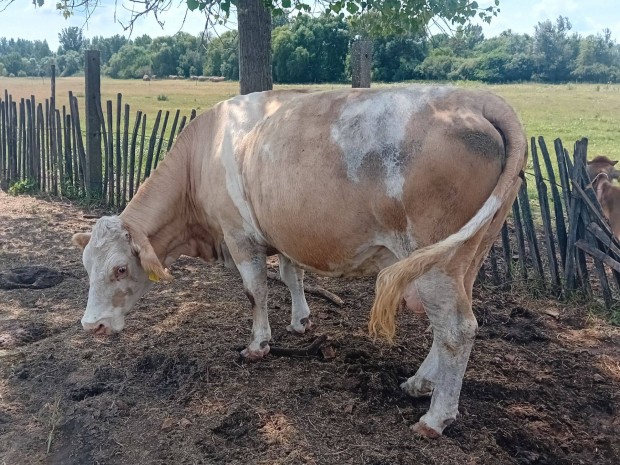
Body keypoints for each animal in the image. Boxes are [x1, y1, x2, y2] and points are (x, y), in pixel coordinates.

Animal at [72, 85, 528, 436]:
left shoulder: (240, 237)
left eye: (119, 268)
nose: (91, 325)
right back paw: (420, 382)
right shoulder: (283, 234)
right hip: (467, 254)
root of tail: (475, 98)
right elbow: (292, 276)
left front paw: (258, 345)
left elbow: (255, 292)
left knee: (457, 329)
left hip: (436, 257)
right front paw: (301, 321)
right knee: (447, 324)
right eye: (86, 267)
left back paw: (435, 418)